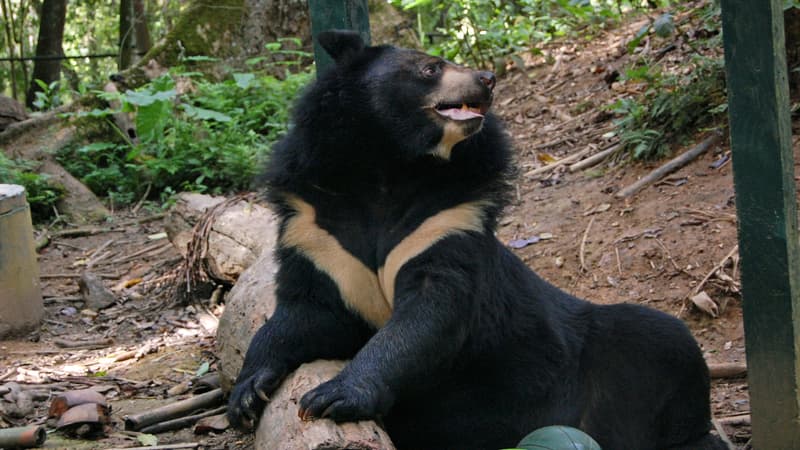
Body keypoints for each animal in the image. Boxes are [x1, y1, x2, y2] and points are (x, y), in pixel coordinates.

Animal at [228, 29, 728, 450]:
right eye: (430, 68)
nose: (488, 79)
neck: (389, 166)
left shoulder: (448, 219)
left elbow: (429, 315)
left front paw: (331, 396)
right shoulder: (315, 229)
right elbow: (306, 312)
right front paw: (247, 393)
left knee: (666, 343)